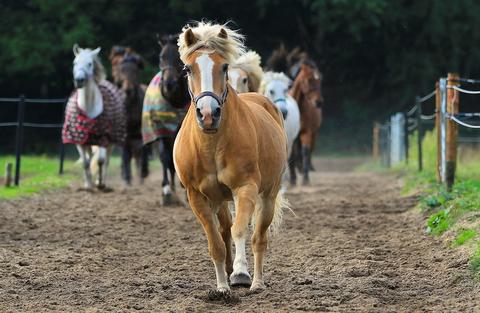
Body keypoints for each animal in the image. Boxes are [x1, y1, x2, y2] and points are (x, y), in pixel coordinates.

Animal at [62, 44, 125, 189]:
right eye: (75, 62)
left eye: (90, 63)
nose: (79, 80)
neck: (88, 106)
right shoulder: (78, 139)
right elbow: (86, 162)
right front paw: (88, 185)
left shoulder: (103, 138)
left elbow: (101, 161)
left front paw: (99, 183)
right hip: (89, 142)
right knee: (90, 158)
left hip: (111, 142)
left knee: (106, 160)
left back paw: (103, 183)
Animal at [110, 45, 149, 185]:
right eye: (121, 70)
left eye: (135, 70)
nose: (128, 90)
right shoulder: (125, 131)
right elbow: (126, 155)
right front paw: (127, 178)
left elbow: (143, 149)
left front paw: (143, 172)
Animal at [141, 35, 189, 204]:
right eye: (161, 57)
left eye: (179, 58)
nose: (169, 83)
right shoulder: (160, 129)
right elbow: (164, 157)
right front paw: (166, 190)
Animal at [173, 22, 288, 292]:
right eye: (187, 68)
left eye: (224, 66)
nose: (208, 114)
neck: (212, 145)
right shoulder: (196, 196)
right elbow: (216, 242)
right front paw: (222, 287)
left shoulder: (245, 187)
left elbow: (240, 231)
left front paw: (240, 273)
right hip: (220, 199)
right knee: (225, 229)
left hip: (268, 195)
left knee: (258, 237)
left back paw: (256, 281)